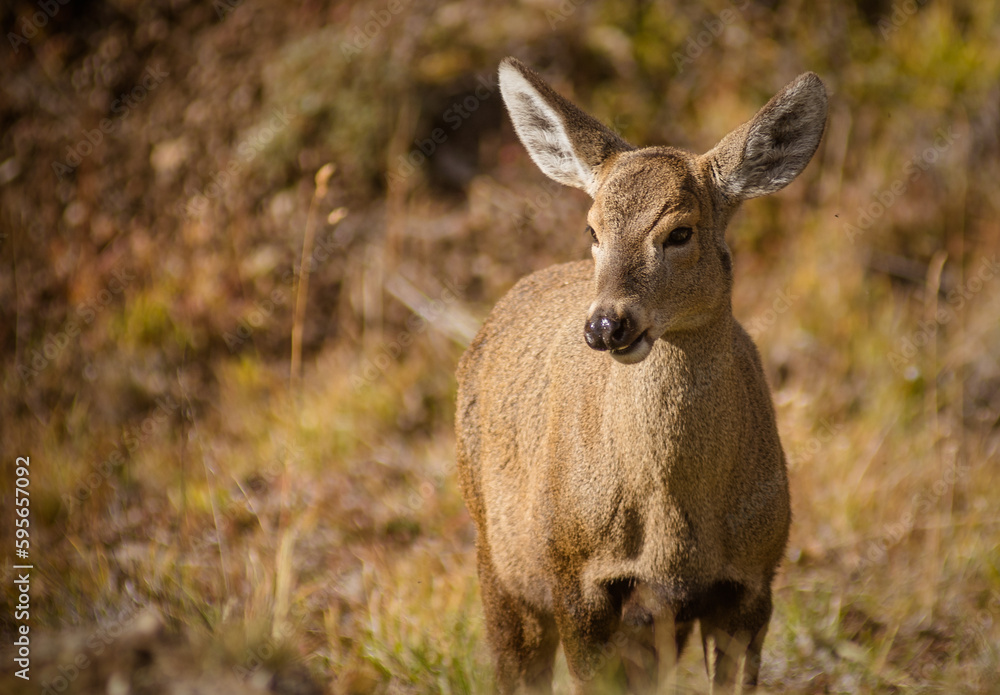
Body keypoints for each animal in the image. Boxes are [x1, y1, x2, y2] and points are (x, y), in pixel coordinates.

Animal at [456, 59, 828, 695]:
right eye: (592, 230)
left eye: (679, 232)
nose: (607, 324)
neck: (672, 531)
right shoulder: (577, 578)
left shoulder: (753, 579)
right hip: (499, 560)